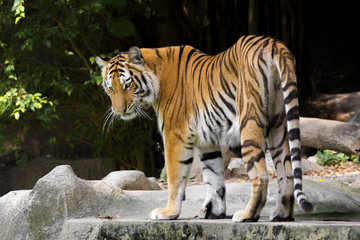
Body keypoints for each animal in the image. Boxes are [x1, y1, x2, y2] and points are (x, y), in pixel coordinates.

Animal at [95, 34, 312, 222]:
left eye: (127, 85)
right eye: (111, 88)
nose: (119, 110)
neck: (156, 75)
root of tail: (273, 43)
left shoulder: (175, 134)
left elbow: (175, 177)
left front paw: (168, 212)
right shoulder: (208, 140)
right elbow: (214, 176)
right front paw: (214, 211)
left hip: (249, 120)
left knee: (261, 174)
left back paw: (247, 215)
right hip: (278, 124)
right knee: (286, 172)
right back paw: (281, 215)